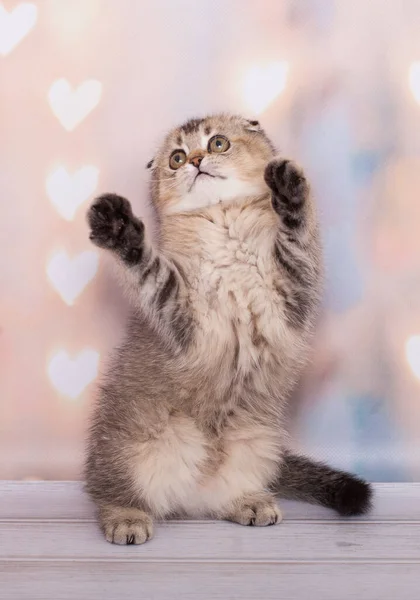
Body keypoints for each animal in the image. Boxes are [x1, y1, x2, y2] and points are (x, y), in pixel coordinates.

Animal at [84, 112, 370, 544]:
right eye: (176, 158)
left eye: (217, 143)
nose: (196, 161)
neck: (224, 226)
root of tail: (189, 493)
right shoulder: (183, 318)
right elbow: (149, 269)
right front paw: (120, 230)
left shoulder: (294, 292)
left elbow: (298, 237)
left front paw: (289, 193)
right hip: (133, 446)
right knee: (109, 490)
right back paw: (126, 517)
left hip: (257, 442)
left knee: (218, 498)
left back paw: (248, 502)